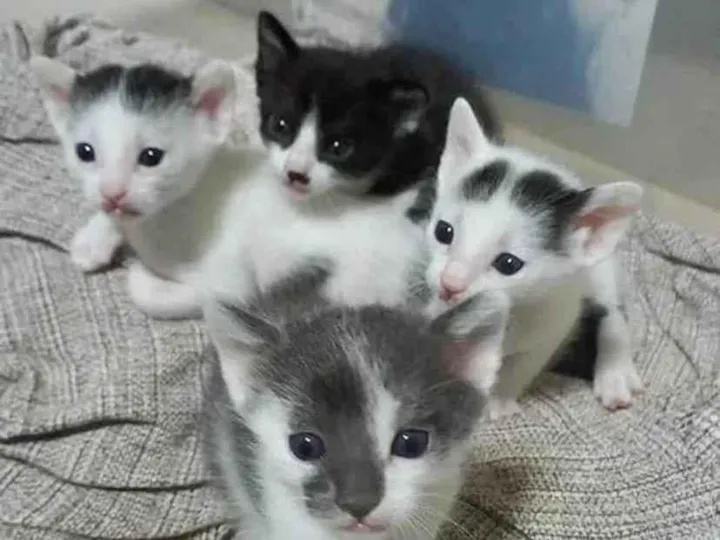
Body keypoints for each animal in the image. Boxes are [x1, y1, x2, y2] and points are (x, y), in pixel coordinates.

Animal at [418, 97, 643, 414]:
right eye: (443, 232)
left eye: (508, 264)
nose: (451, 285)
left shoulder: (552, 326)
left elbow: (523, 365)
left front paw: (499, 402)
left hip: (602, 272)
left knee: (612, 312)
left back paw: (615, 373)